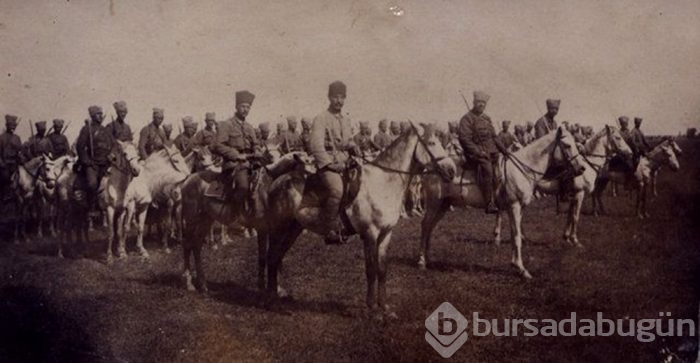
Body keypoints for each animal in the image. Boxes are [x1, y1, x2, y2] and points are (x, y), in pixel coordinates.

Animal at [418, 127, 588, 278]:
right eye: (567, 145)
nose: (582, 168)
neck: (523, 169)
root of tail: (430, 168)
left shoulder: (519, 209)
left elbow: (514, 234)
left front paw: (515, 264)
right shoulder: (514, 206)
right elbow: (517, 236)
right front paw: (522, 269)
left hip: (443, 206)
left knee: (430, 227)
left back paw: (428, 258)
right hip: (434, 204)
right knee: (425, 225)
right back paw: (421, 261)